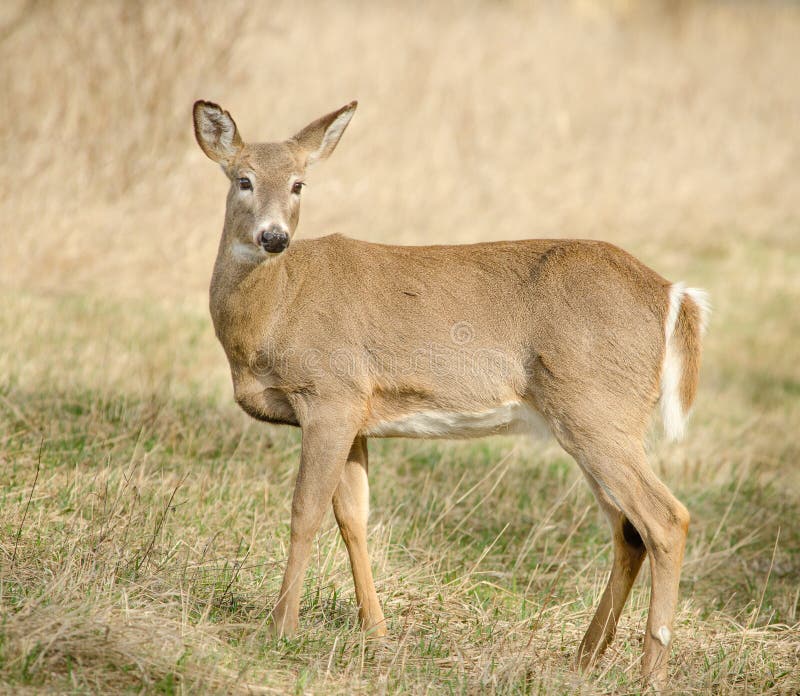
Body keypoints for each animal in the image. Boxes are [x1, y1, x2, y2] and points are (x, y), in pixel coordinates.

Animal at [192, 99, 709, 688]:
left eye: (300, 183)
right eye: (244, 179)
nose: (273, 237)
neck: (274, 311)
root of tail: (673, 295)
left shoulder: (329, 394)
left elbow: (306, 511)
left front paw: (281, 629)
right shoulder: (356, 414)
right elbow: (353, 518)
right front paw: (377, 631)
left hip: (597, 411)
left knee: (666, 519)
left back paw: (650, 673)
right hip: (591, 420)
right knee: (629, 530)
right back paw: (584, 656)